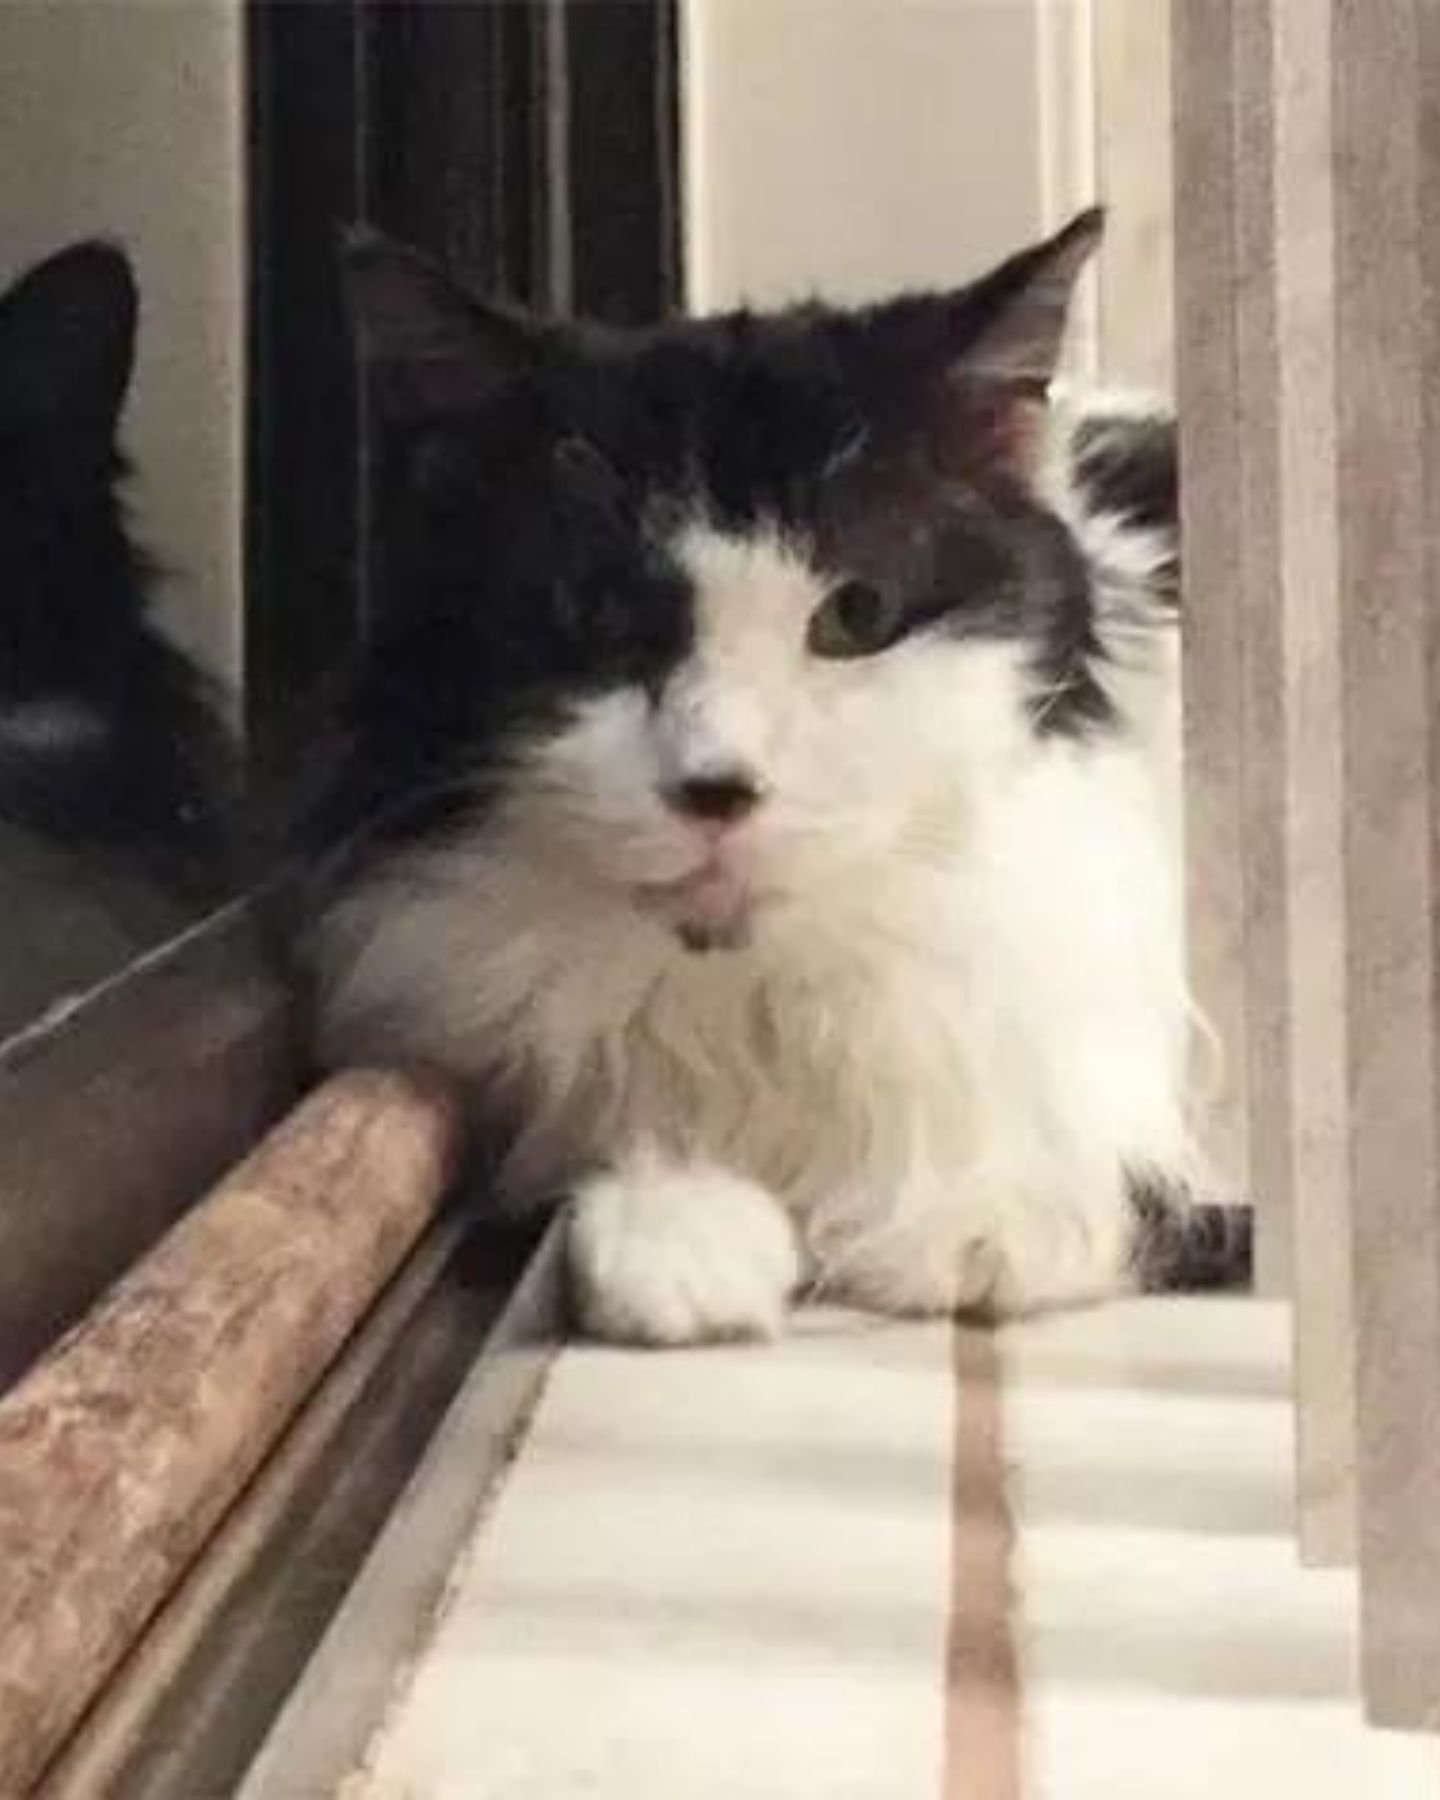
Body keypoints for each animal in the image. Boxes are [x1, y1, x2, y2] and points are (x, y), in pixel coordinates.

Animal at [298, 207, 1245, 1339]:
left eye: (857, 615)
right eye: (601, 618)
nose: (718, 789)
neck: (754, 1005)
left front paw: (975, 1216)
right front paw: (678, 1231)